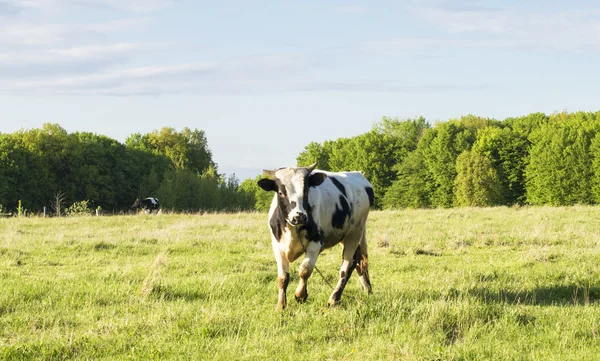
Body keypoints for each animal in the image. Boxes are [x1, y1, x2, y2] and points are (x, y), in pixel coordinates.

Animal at [258, 162, 376, 308]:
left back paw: (334, 298)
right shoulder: (277, 246)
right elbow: (283, 277)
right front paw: (281, 305)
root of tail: (358, 174)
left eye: (306, 190)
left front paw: (301, 295)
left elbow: (305, 270)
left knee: (347, 266)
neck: (293, 229)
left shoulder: (315, 244)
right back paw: (367, 289)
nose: (299, 216)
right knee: (358, 261)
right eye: (280, 192)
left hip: (354, 233)